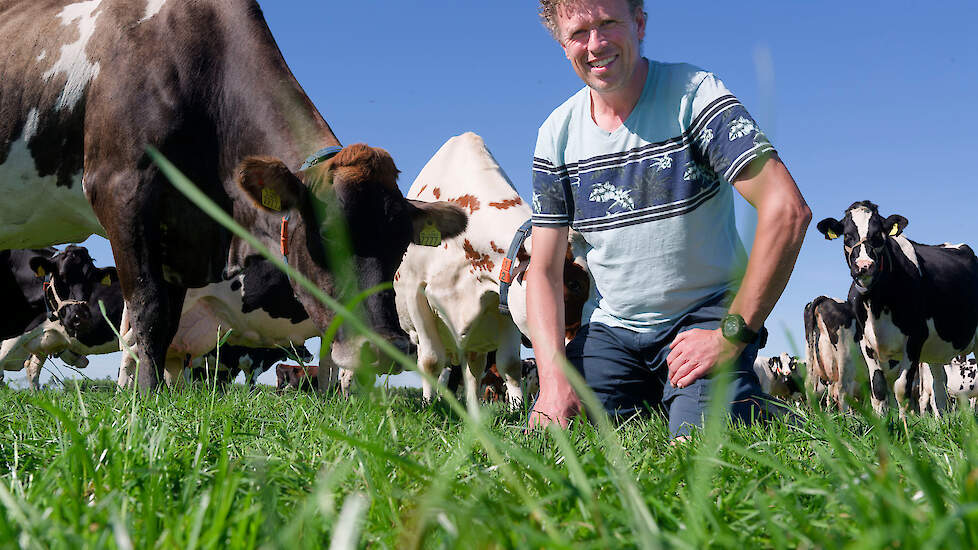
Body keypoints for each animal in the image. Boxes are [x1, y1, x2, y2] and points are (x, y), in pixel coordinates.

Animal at [816, 203, 976, 418]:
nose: (864, 266)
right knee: (938, 386)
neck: (877, 306)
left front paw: (906, 423)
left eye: (878, 234)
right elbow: (878, 388)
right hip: (934, 351)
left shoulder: (916, 338)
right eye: (847, 236)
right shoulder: (866, 342)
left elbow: (901, 389)